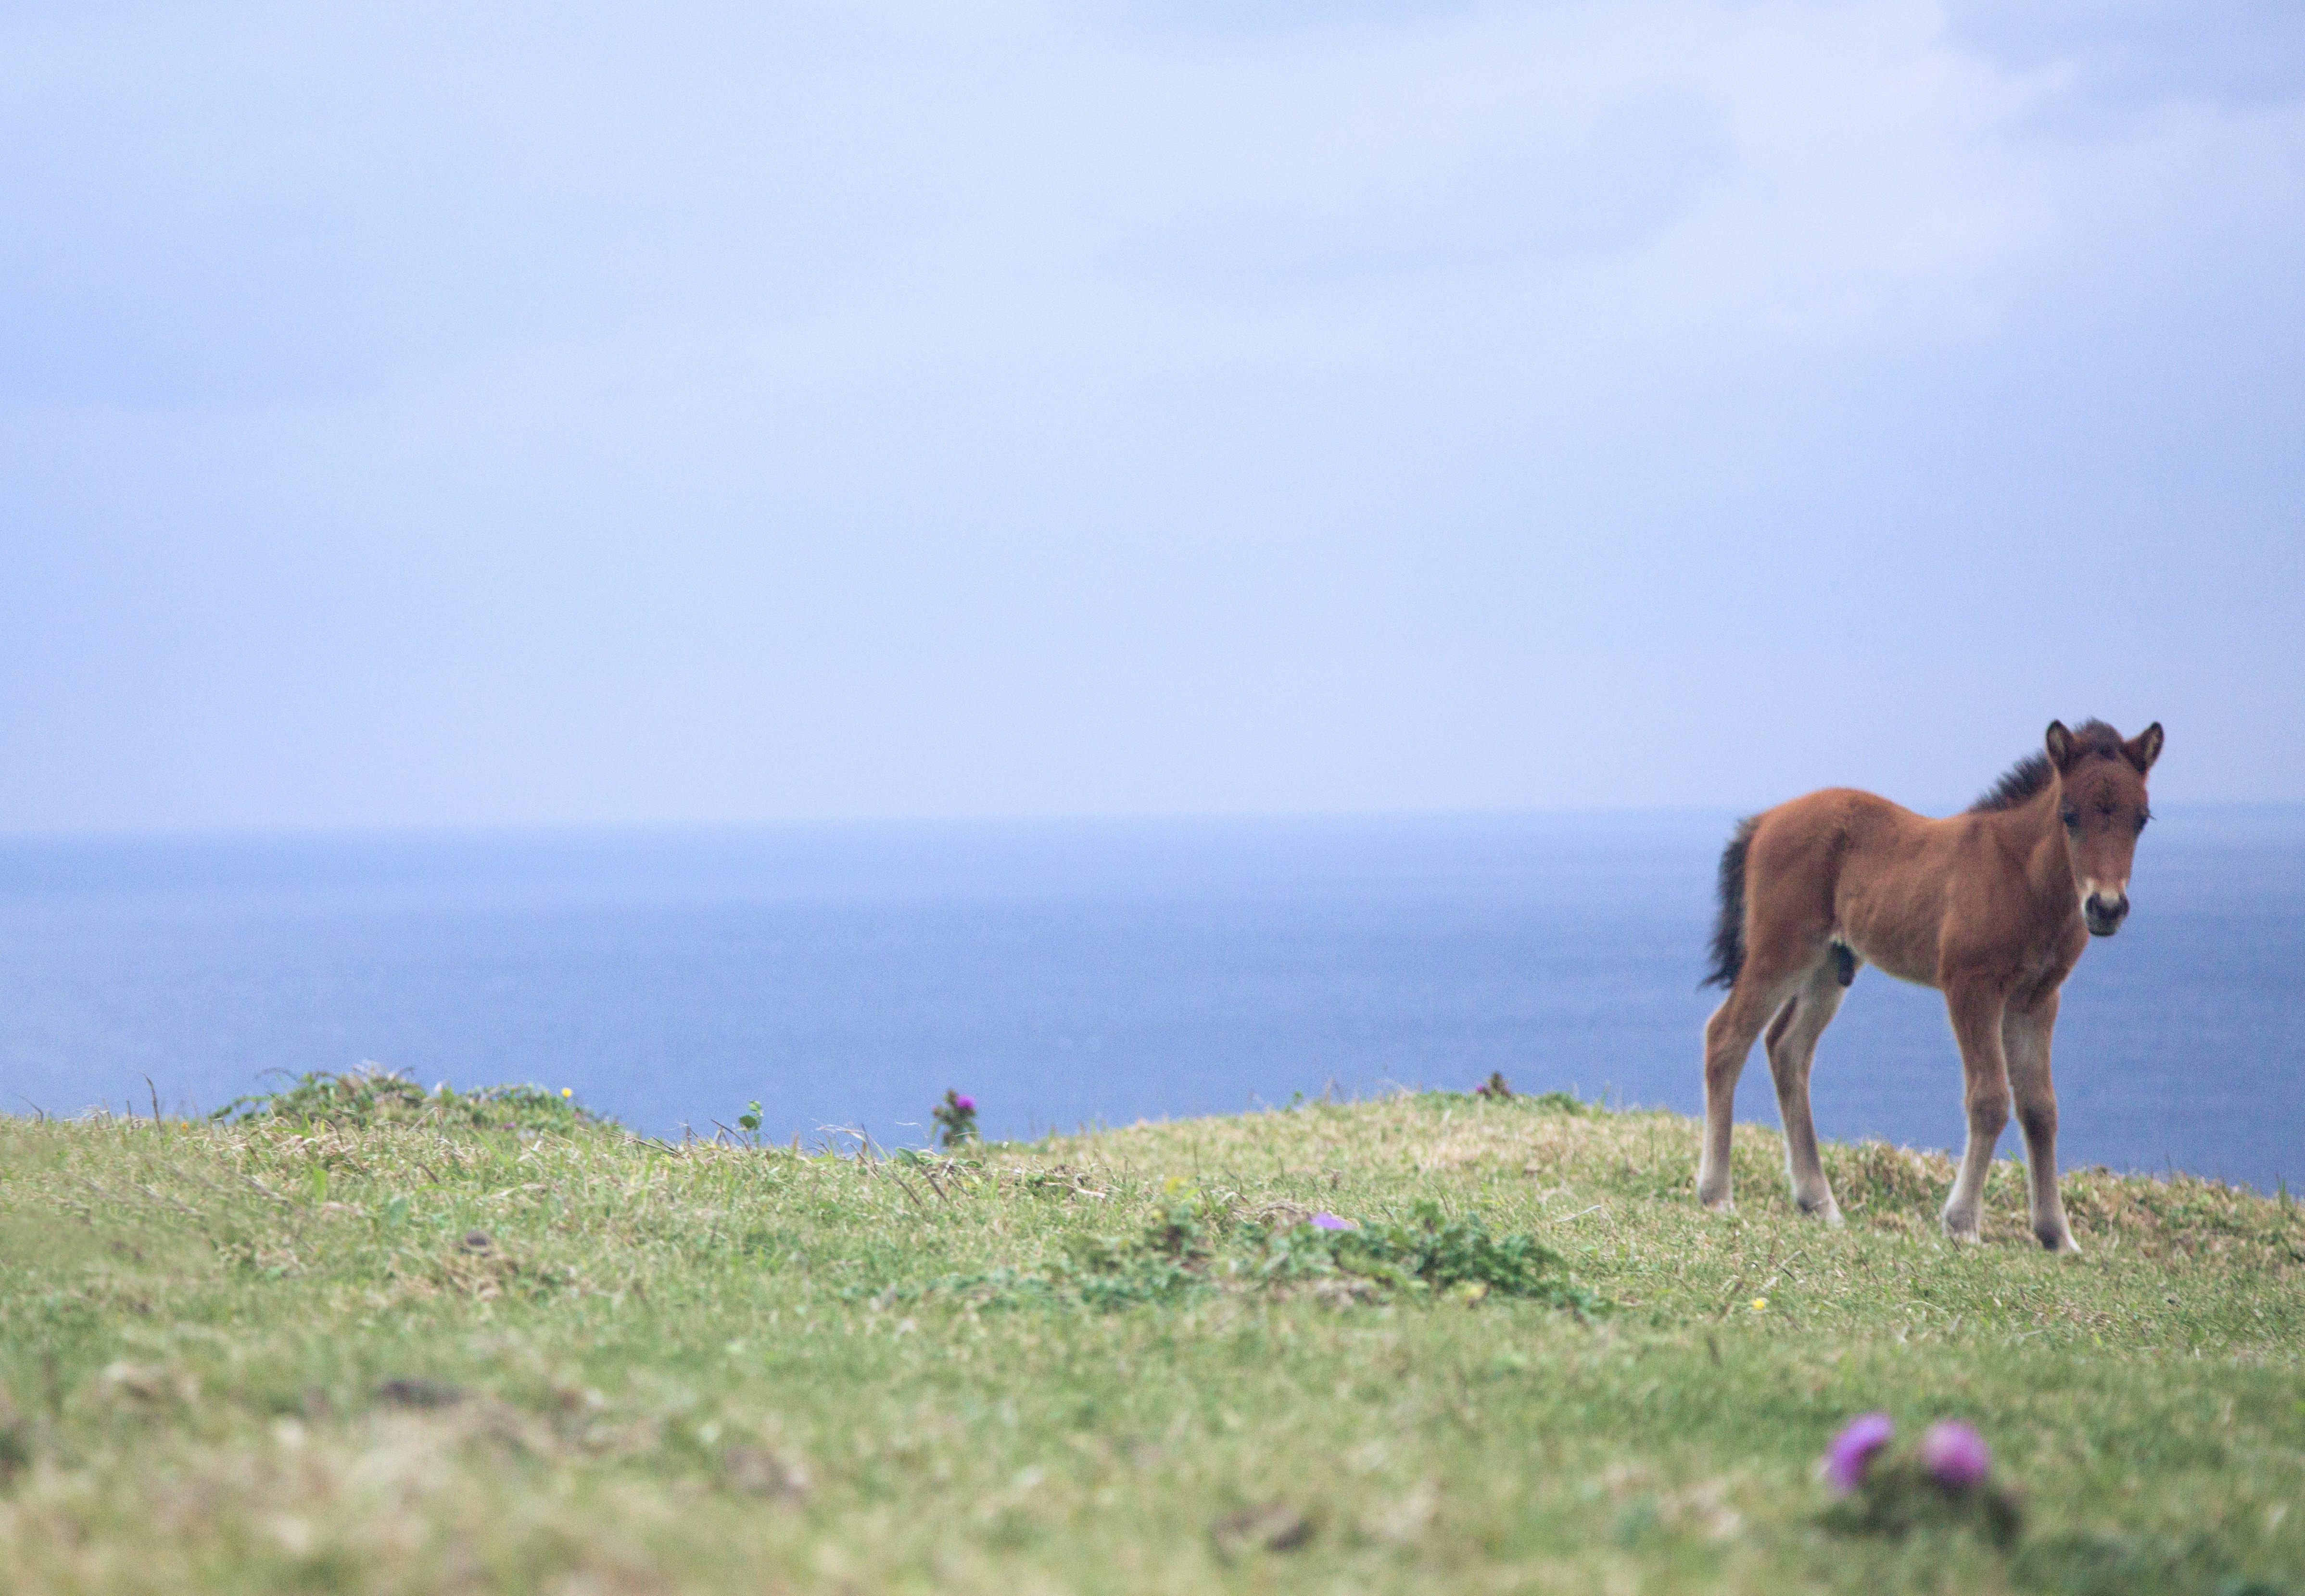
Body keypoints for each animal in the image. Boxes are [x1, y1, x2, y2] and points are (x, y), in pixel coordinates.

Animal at [1696, 714, 2157, 1253]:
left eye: (2141, 818)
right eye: (2069, 815)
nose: (2105, 907)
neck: (2021, 875)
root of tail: (1765, 820)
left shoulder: (2038, 998)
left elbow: (2041, 1108)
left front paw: (2056, 1235)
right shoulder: (1971, 986)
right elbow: (1989, 1099)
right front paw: (1962, 1223)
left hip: (1830, 965)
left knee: (1787, 1048)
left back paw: (1818, 1200)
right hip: (1781, 951)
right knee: (1726, 1037)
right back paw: (1717, 1193)